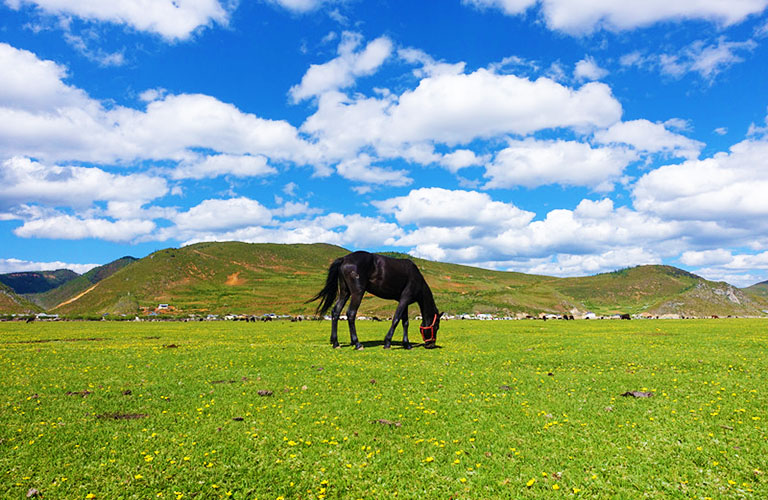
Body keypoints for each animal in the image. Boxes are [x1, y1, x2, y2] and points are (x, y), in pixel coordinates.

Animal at [310, 250, 444, 352]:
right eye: (437, 326)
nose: (430, 345)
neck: (416, 278)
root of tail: (344, 259)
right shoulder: (404, 299)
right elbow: (396, 319)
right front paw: (387, 342)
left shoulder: (404, 301)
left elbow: (405, 323)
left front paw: (407, 344)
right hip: (357, 293)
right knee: (351, 314)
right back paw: (357, 343)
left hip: (344, 293)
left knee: (336, 312)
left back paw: (336, 343)